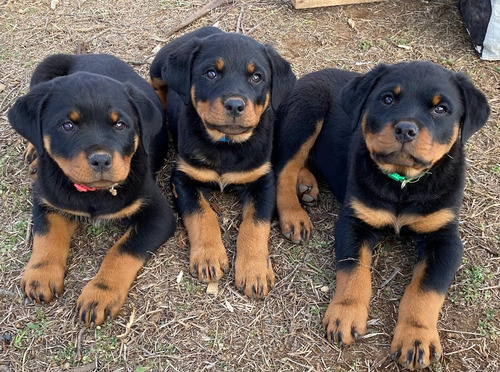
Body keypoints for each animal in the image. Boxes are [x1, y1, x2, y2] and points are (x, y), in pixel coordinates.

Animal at [7, 53, 176, 326]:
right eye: (67, 126)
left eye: (120, 125)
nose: (101, 160)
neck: (93, 194)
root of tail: (84, 54)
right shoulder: (47, 198)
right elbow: (47, 233)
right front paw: (41, 274)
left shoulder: (158, 214)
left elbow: (123, 250)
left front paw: (100, 294)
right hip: (45, 66)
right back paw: (34, 154)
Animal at [150, 27, 294, 298]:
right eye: (211, 73)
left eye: (257, 77)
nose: (235, 105)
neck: (226, 145)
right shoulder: (183, 176)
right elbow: (201, 213)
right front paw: (208, 257)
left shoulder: (262, 179)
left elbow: (255, 224)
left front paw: (255, 271)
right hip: (157, 68)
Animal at [274, 61, 488, 370]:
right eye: (387, 99)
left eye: (441, 109)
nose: (406, 129)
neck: (402, 185)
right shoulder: (354, 221)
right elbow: (353, 270)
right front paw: (345, 314)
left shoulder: (444, 237)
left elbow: (426, 287)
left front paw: (416, 337)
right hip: (306, 112)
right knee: (285, 168)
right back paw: (294, 214)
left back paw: (307, 185)